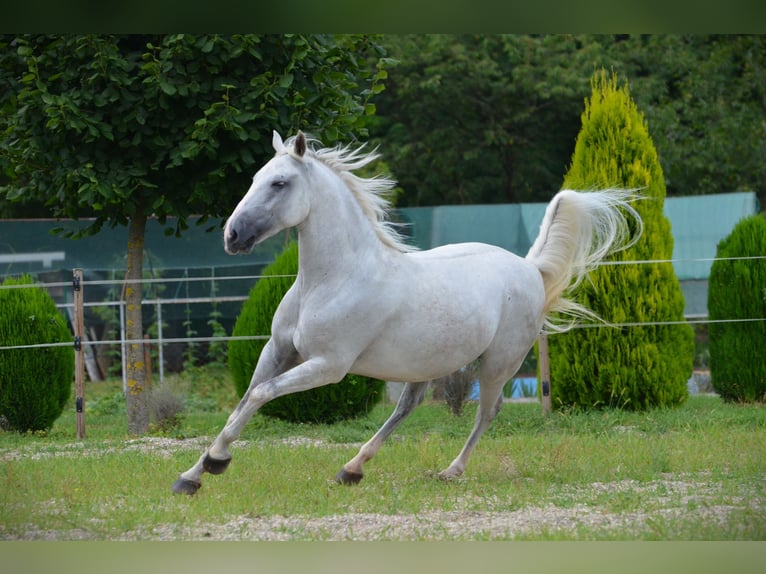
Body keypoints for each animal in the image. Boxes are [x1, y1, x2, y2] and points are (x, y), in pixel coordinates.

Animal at [172, 130, 640, 496]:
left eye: (280, 183)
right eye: (255, 179)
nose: (233, 236)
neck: (331, 280)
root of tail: (528, 268)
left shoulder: (328, 366)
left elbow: (260, 395)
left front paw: (214, 462)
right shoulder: (278, 351)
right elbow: (244, 401)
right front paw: (192, 475)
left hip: (497, 363)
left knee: (487, 412)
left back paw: (450, 471)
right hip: (425, 364)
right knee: (408, 407)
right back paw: (351, 469)